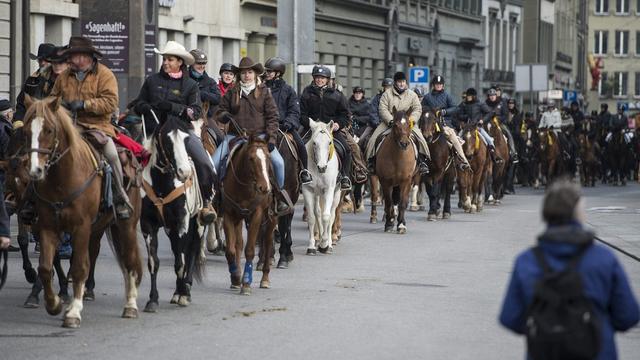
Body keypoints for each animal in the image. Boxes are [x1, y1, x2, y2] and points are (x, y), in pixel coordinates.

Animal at [23, 97, 143, 328]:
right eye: (26, 129)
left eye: (49, 130)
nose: (35, 171)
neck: (63, 179)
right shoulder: (48, 227)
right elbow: (45, 268)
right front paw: (55, 304)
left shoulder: (81, 227)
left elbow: (79, 267)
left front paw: (73, 312)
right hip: (98, 228)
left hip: (127, 225)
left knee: (130, 259)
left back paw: (131, 305)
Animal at [222, 134, 278, 294]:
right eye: (251, 158)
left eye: (268, 158)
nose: (265, 187)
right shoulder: (228, 215)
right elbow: (231, 250)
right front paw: (235, 277)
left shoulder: (256, 215)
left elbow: (250, 250)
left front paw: (246, 283)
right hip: (239, 218)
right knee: (239, 244)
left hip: (271, 218)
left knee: (268, 241)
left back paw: (265, 278)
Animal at [302, 119, 342, 255]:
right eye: (314, 143)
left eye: (329, 142)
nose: (322, 167)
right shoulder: (308, 190)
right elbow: (312, 218)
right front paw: (312, 246)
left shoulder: (329, 189)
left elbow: (326, 217)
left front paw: (325, 244)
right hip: (318, 194)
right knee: (318, 213)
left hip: (336, 193)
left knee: (331, 215)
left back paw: (328, 243)